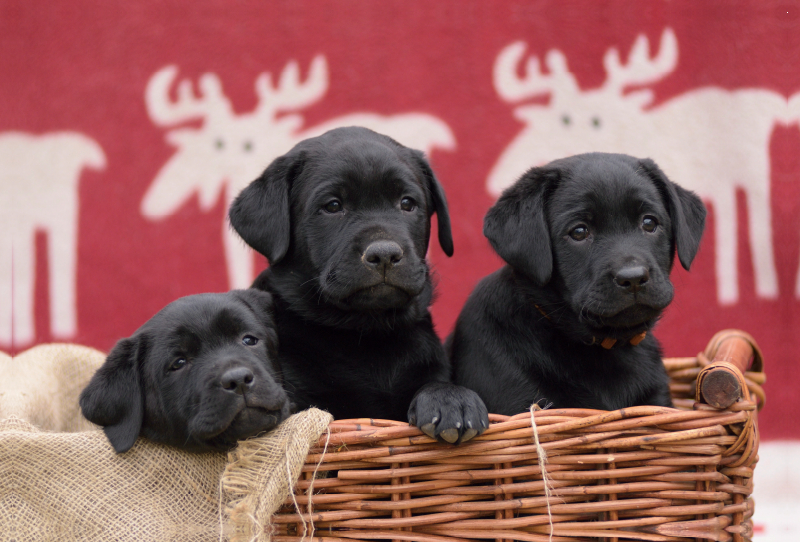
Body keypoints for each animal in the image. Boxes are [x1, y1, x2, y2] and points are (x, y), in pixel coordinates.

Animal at [227, 126, 488, 446]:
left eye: (407, 203)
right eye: (333, 206)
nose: (385, 254)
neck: (367, 333)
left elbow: (435, 383)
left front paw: (452, 400)